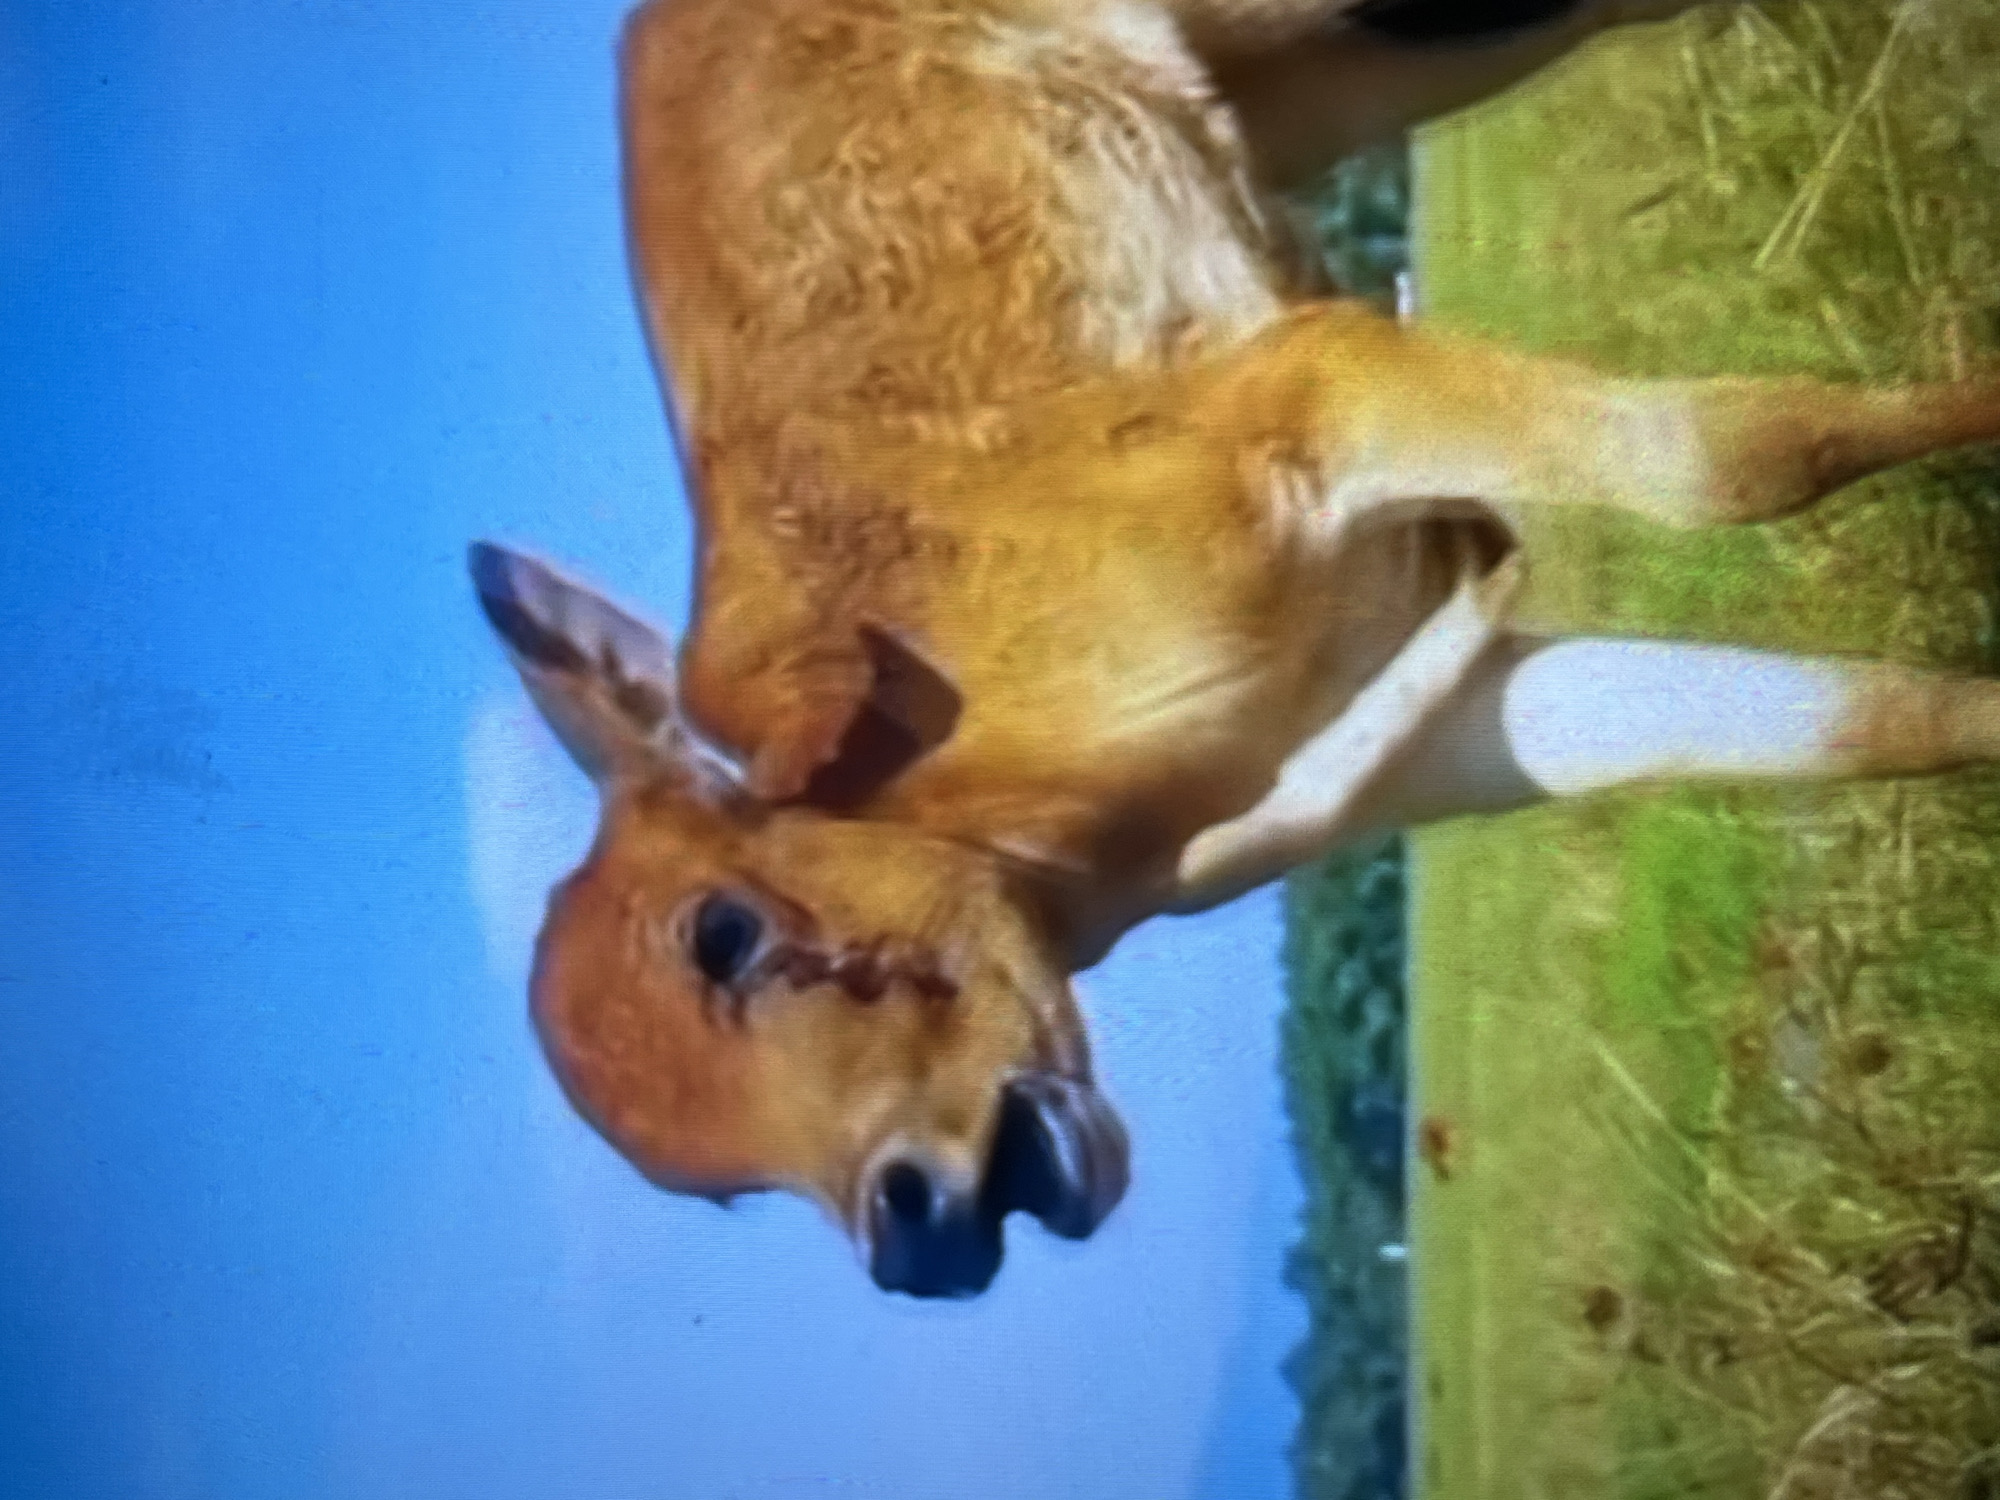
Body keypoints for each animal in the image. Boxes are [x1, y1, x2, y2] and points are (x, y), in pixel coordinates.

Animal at [470, 0, 2000, 1298]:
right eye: (714, 1192)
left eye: (723, 934)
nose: (915, 1234)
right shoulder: (1447, 717)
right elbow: (1847, 723)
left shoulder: (1311, 388)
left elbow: (1731, 458)